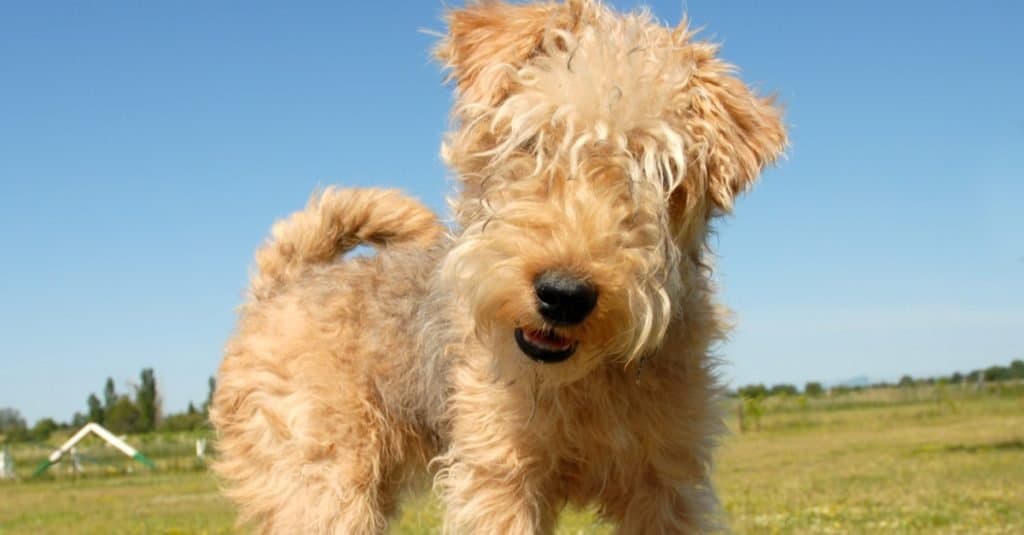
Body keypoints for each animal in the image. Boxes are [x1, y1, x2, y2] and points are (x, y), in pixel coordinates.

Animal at [207, 2, 782, 528]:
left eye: (664, 175)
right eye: (532, 141)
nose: (563, 295)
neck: (581, 385)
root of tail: (282, 285)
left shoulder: (667, 479)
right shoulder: (497, 476)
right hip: (324, 485)